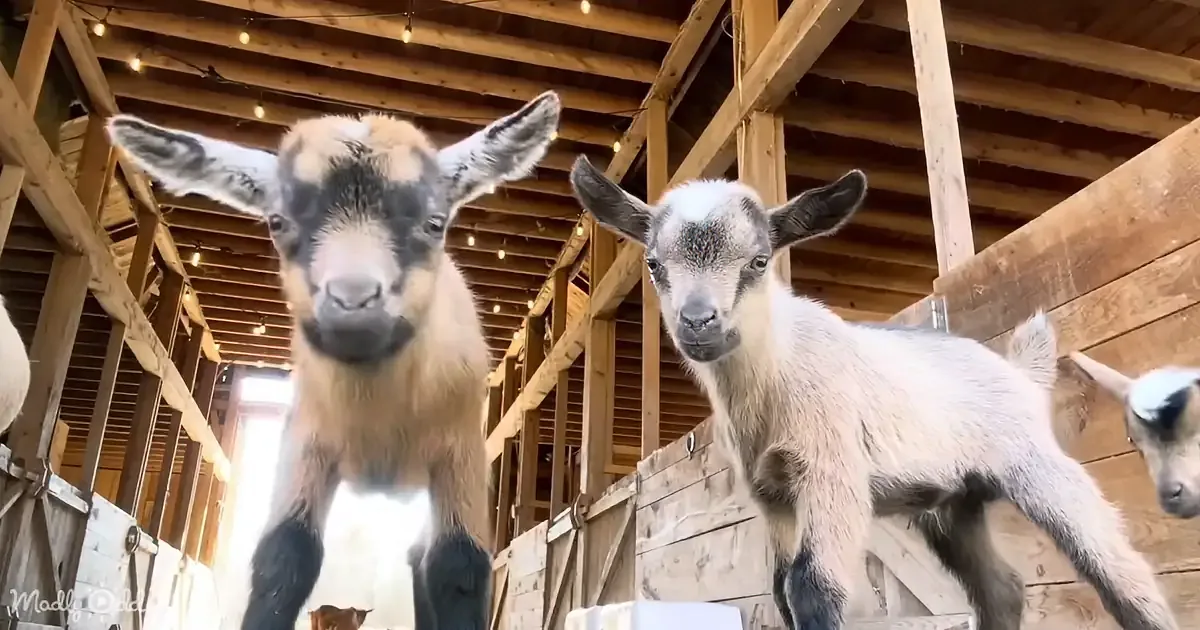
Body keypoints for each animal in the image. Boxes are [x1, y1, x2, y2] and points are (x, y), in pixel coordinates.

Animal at [107, 91, 562, 630]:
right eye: (277, 222)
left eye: (435, 222)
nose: (352, 301)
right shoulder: (306, 441)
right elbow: (285, 557)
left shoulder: (460, 452)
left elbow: (459, 567)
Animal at [569, 157, 1178, 630]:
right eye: (654, 264)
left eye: (759, 261)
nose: (699, 323)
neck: (775, 372)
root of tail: (1021, 373)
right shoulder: (774, 498)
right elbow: (780, 591)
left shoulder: (832, 470)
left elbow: (813, 588)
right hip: (954, 504)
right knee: (1001, 589)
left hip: (1039, 466)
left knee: (1119, 569)